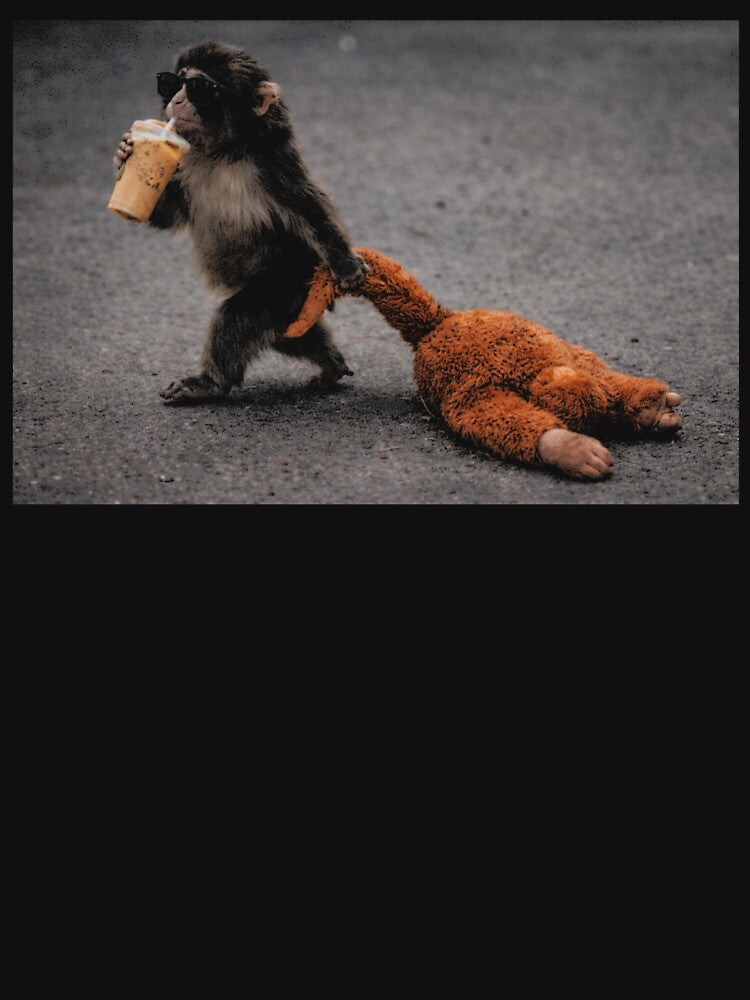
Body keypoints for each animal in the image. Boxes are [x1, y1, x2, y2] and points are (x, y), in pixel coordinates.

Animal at [112, 41, 367, 401]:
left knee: (242, 316)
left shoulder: (271, 164)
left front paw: (345, 264)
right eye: (173, 83)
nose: (177, 101)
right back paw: (332, 363)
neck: (222, 153)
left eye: (200, 88)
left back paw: (210, 384)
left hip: (290, 282)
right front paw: (125, 154)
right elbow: (172, 213)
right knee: (288, 335)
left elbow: (308, 209)